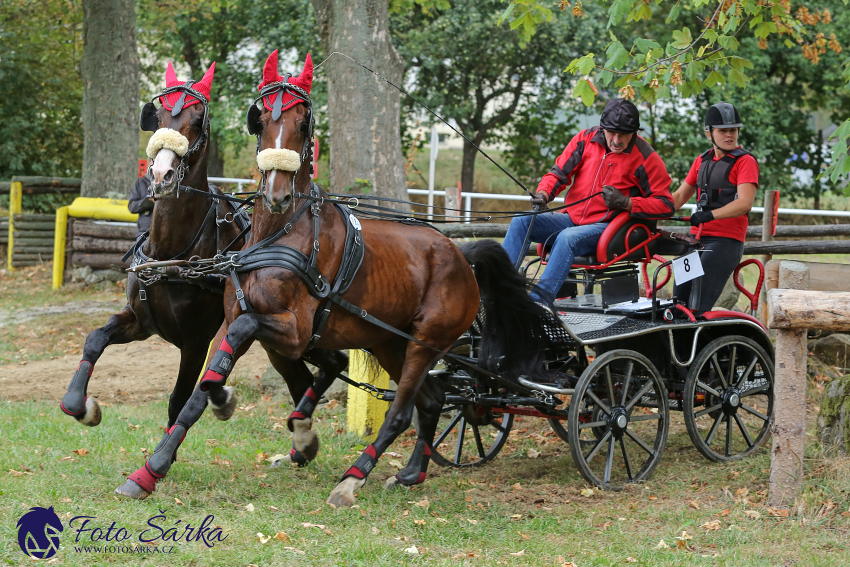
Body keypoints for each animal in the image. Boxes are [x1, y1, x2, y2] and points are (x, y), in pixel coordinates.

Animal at [116, 52, 548, 506]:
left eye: (304, 122)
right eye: (260, 119)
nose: (277, 192)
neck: (279, 232)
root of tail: (460, 255)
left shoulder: (293, 332)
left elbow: (238, 341)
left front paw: (223, 413)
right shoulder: (233, 322)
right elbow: (204, 384)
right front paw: (153, 467)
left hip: (426, 343)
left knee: (401, 412)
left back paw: (353, 478)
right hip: (390, 342)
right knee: (431, 402)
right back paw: (411, 473)